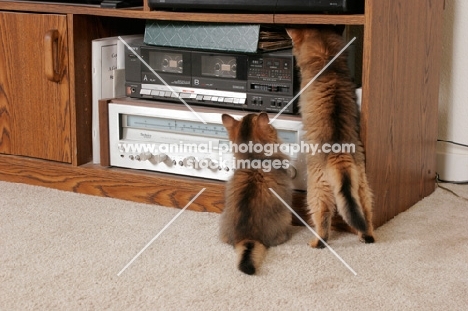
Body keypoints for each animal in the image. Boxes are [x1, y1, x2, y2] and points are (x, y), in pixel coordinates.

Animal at [288, 26, 374, 249]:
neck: (328, 62)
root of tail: (339, 155)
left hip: (317, 190)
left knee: (323, 217)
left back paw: (317, 242)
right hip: (362, 186)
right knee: (365, 213)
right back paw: (367, 235)